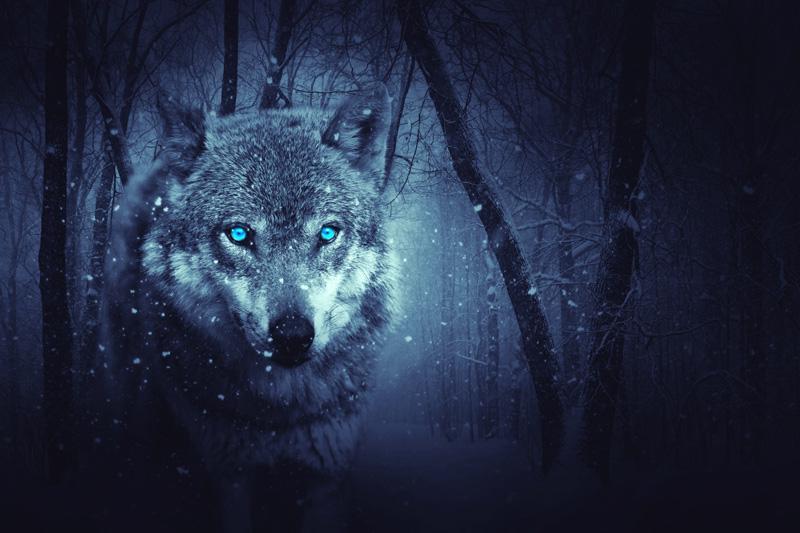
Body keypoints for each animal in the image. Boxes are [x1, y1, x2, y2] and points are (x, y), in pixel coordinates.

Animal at [103, 85, 396, 531]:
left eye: (328, 233)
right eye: (239, 234)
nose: (292, 335)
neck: (280, 412)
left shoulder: (327, 475)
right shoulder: (229, 474)